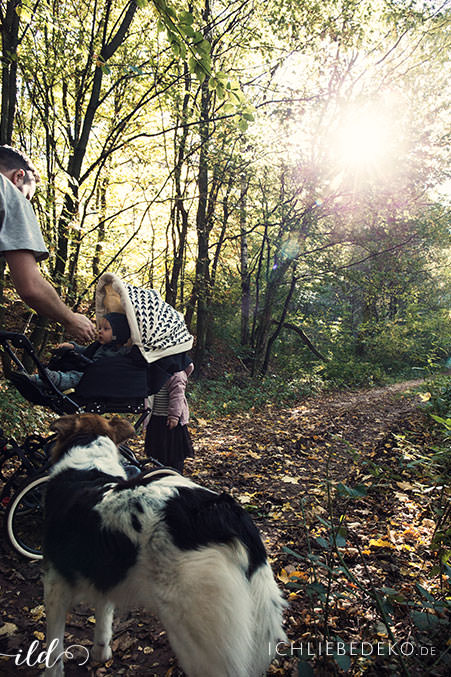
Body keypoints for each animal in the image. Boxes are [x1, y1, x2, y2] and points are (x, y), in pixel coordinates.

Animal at [45, 414, 286, 672]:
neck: (89, 461)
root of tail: (221, 510)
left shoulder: (55, 586)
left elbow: (54, 653)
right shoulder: (103, 576)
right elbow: (103, 621)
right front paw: (101, 654)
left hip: (198, 639)